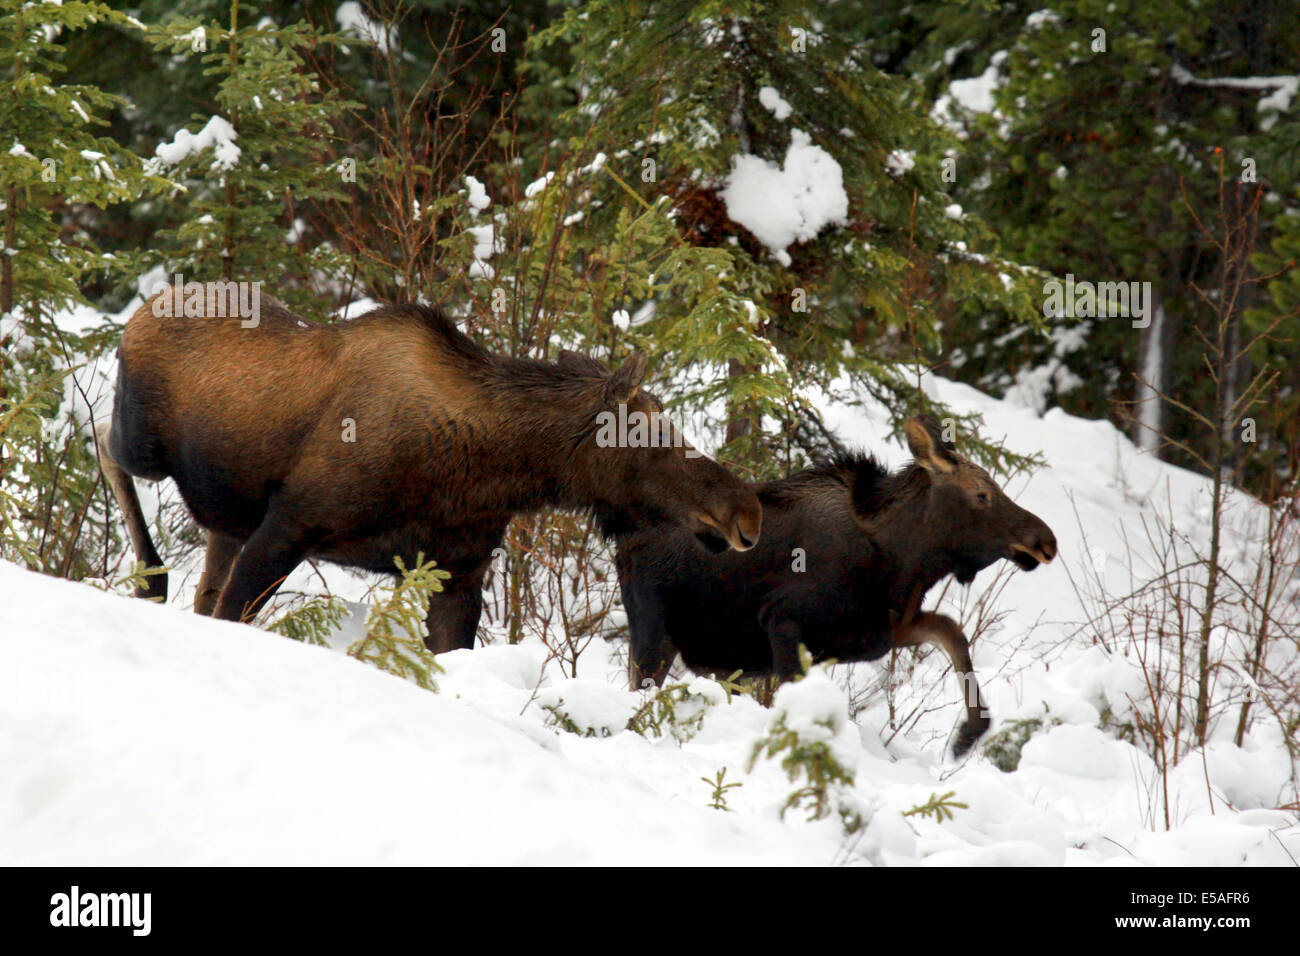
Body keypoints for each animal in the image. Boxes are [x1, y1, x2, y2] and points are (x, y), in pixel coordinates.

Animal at [101, 286, 759, 650]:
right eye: (652, 435)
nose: (746, 512)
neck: (488, 469)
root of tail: (142, 310)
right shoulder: (289, 525)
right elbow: (237, 612)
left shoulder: (458, 573)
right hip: (145, 446)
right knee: (104, 447)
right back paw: (151, 576)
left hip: (229, 513)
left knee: (206, 581)